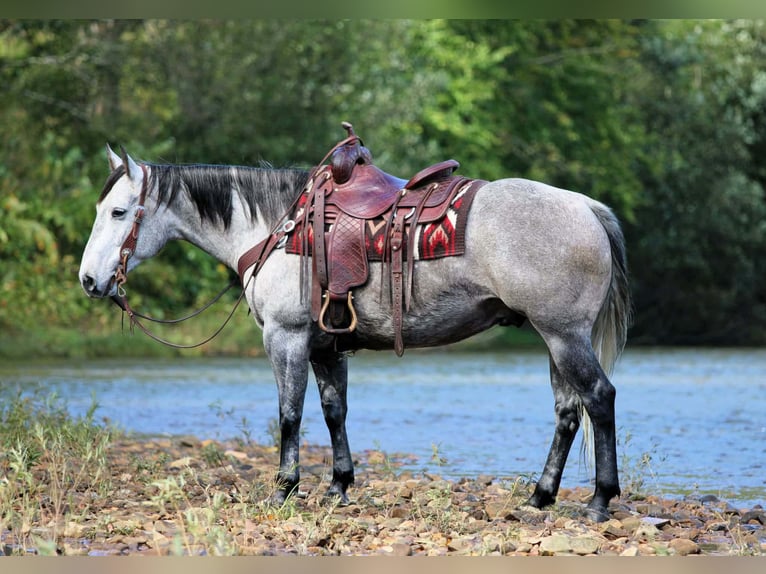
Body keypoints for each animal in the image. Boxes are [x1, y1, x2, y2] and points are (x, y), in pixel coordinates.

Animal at [78, 142, 631, 522]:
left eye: (119, 212)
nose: (89, 280)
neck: (276, 228)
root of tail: (585, 207)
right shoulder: (326, 347)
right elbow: (333, 412)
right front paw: (338, 486)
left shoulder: (286, 339)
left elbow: (289, 415)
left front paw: (284, 487)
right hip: (552, 338)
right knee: (567, 413)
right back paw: (540, 496)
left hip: (564, 335)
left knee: (599, 398)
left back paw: (599, 500)